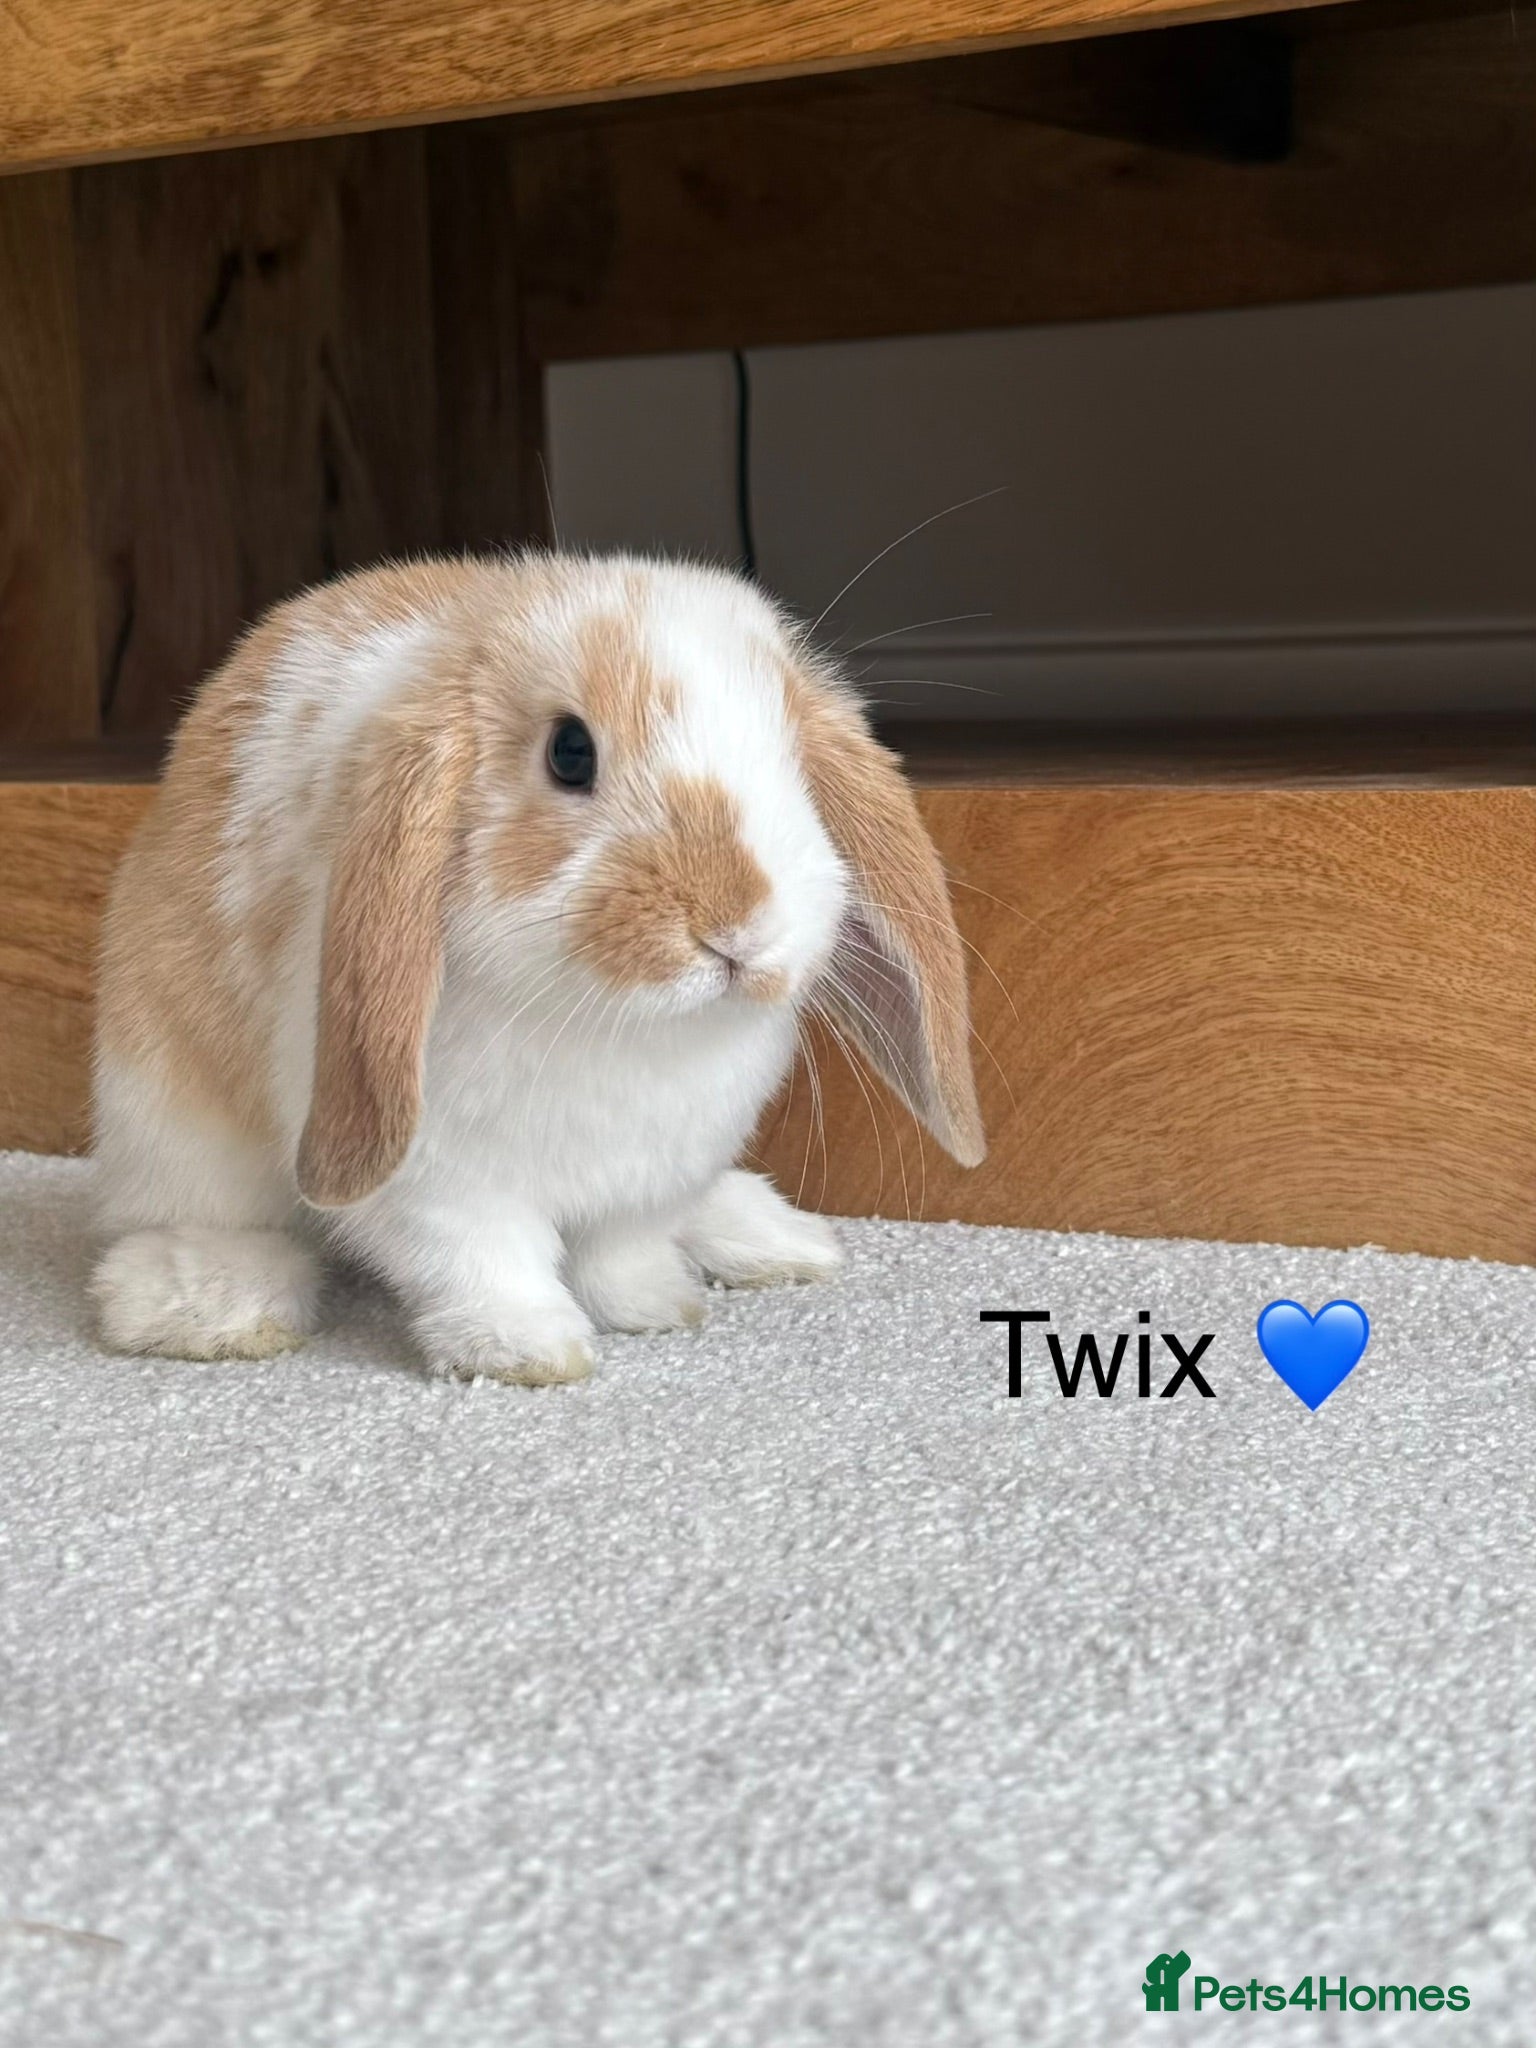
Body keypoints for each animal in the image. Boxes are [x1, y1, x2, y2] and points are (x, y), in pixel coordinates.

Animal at [90, 552, 985, 1383]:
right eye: (569, 752)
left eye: (792, 758)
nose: (735, 927)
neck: (630, 1028)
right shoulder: (439, 1182)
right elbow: (484, 1262)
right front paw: (526, 1351)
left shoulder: (658, 1173)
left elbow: (623, 1251)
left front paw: (655, 1307)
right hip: (170, 1121)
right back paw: (214, 1304)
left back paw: (773, 1239)